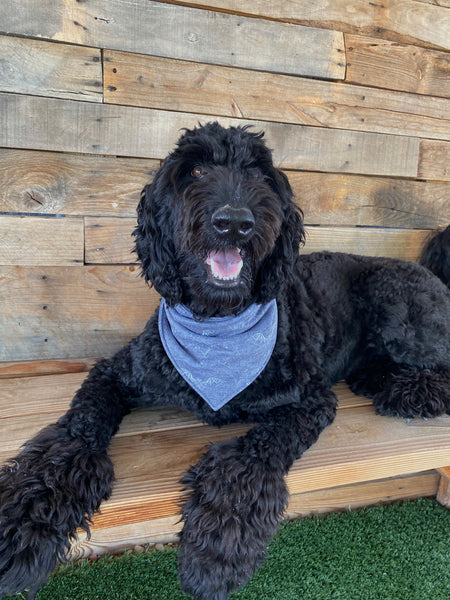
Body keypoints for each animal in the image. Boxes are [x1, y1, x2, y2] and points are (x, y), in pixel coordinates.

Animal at [0, 123, 450, 600]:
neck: (218, 323)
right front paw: (24, 521)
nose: (234, 222)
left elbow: (247, 457)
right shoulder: (117, 372)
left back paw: (408, 391)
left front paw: (216, 550)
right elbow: (74, 438)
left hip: (398, 305)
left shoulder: (309, 400)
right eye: (195, 170)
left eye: (259, 175)